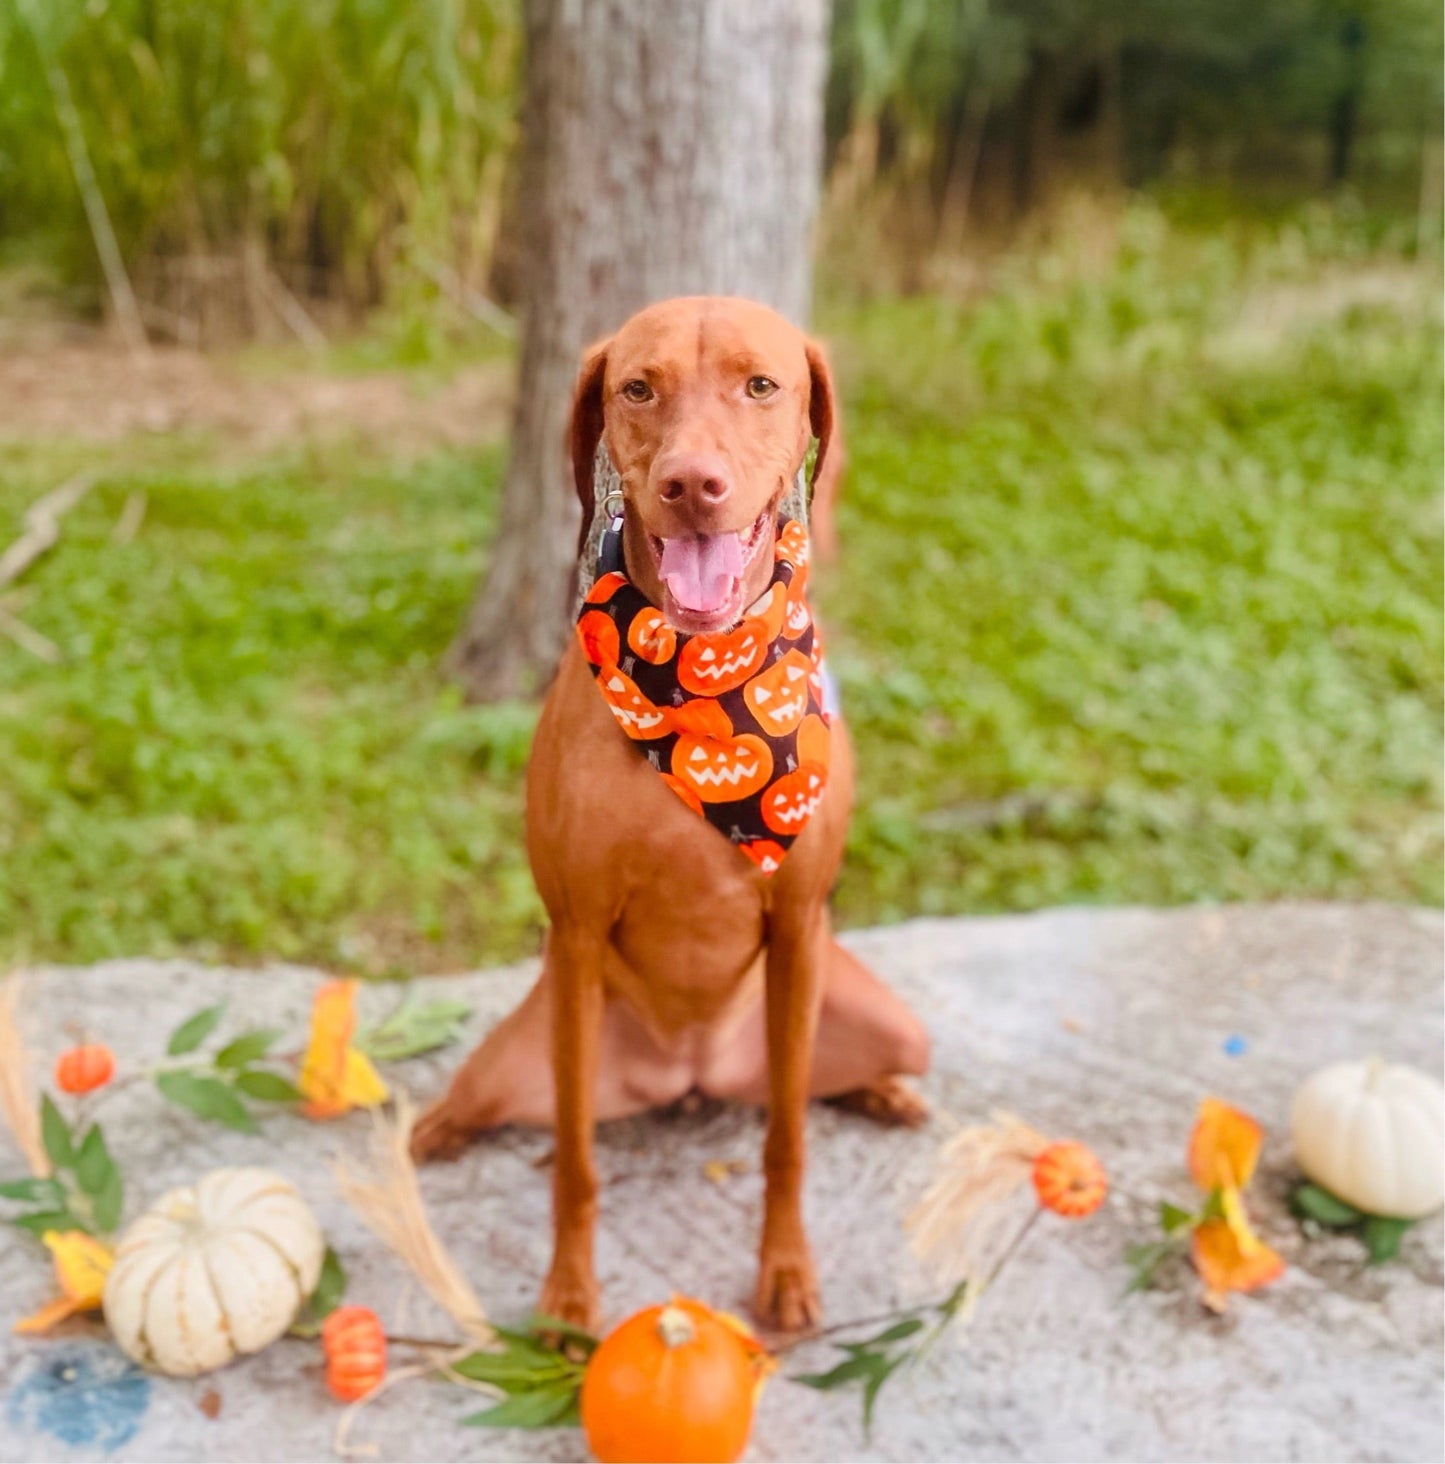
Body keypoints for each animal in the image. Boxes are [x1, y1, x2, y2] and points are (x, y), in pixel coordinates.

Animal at [412, 294, 925, 1329]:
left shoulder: (799, 930)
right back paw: (429, 1131)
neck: (701, 686)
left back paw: (884, 1093)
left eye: (760, 384)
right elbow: (574, 1161)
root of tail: (690, 1077)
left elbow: (785, 1139)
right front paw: (568, 1298)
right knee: (474, 1097)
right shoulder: (573, 939)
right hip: (515, 1054)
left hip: (885, 1023)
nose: (692, 484)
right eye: (637, 389)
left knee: (830, 1079)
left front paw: (785, 1269)